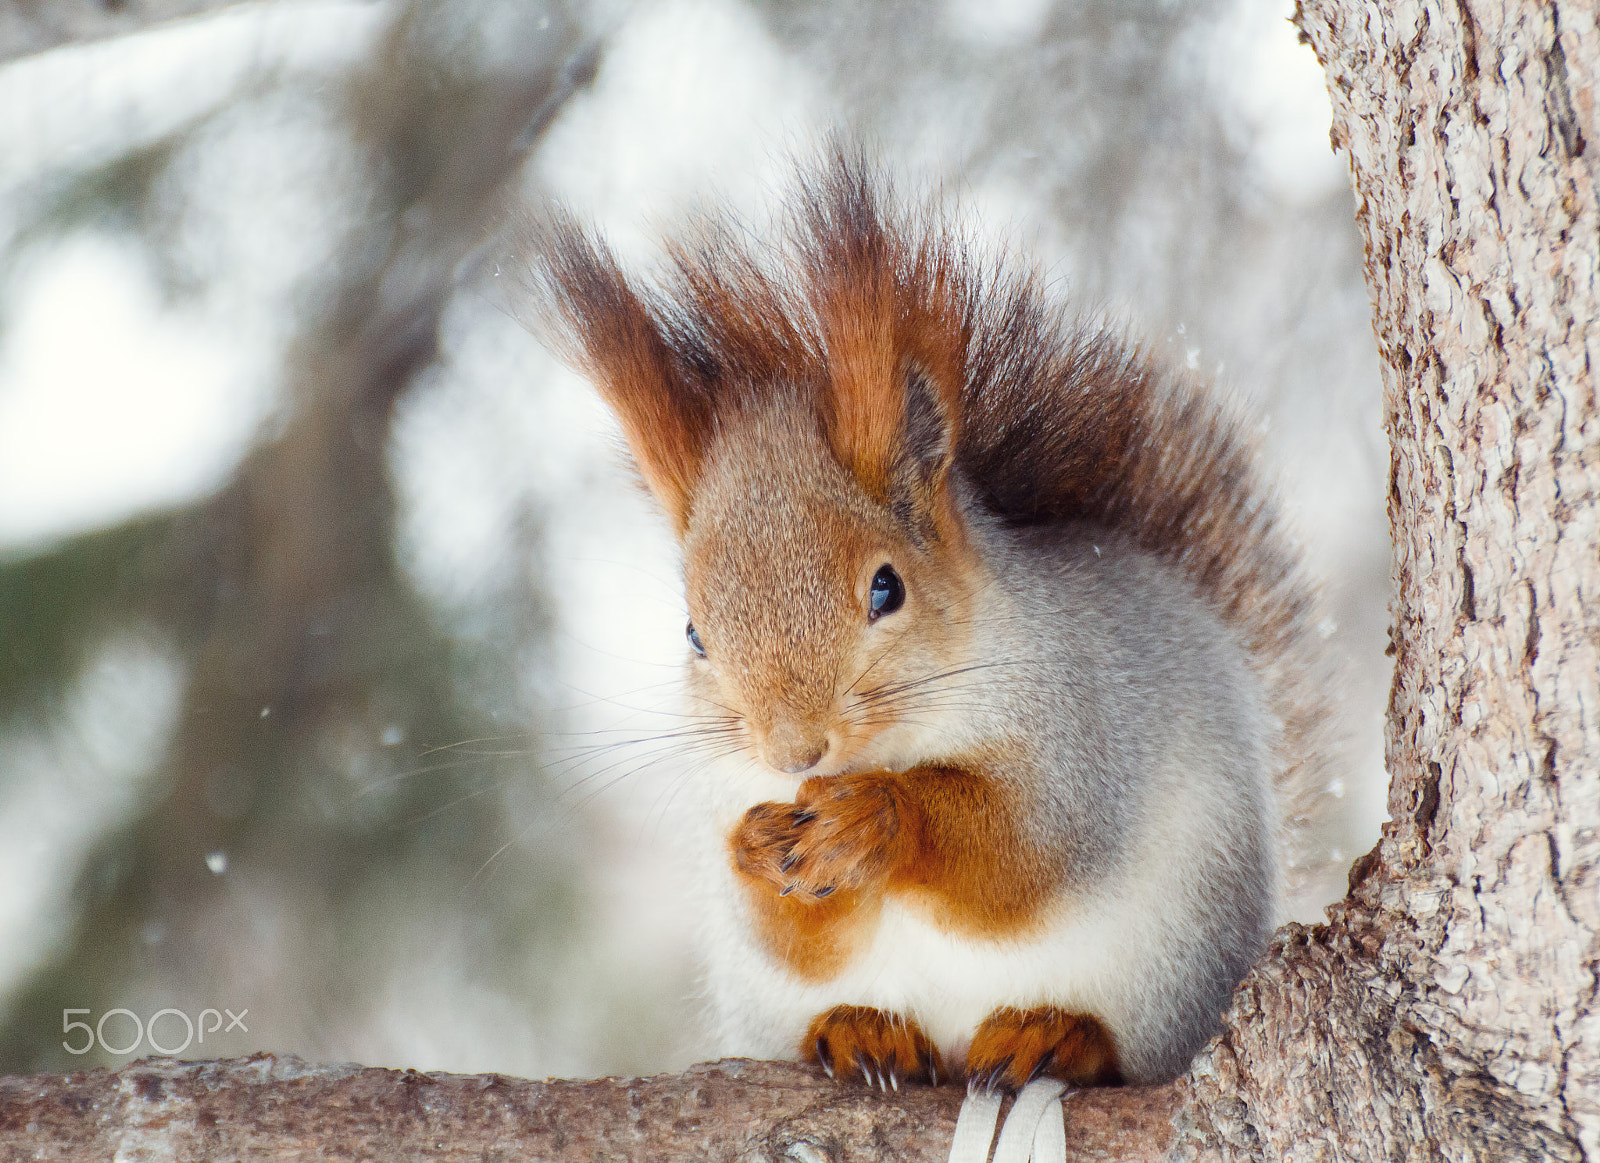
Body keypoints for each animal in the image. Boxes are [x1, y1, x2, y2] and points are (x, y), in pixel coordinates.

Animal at [524, 152, 1330, 1090]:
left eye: (886, 589)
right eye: (694, 633)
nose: (794, 751)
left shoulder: (1081, 724)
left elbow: (1024, 850)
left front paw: (879, 815)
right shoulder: (724, 792)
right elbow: (791, 937)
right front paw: (755, 849)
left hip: (1176, 956)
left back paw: (1052, 1034)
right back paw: (859, 1030)